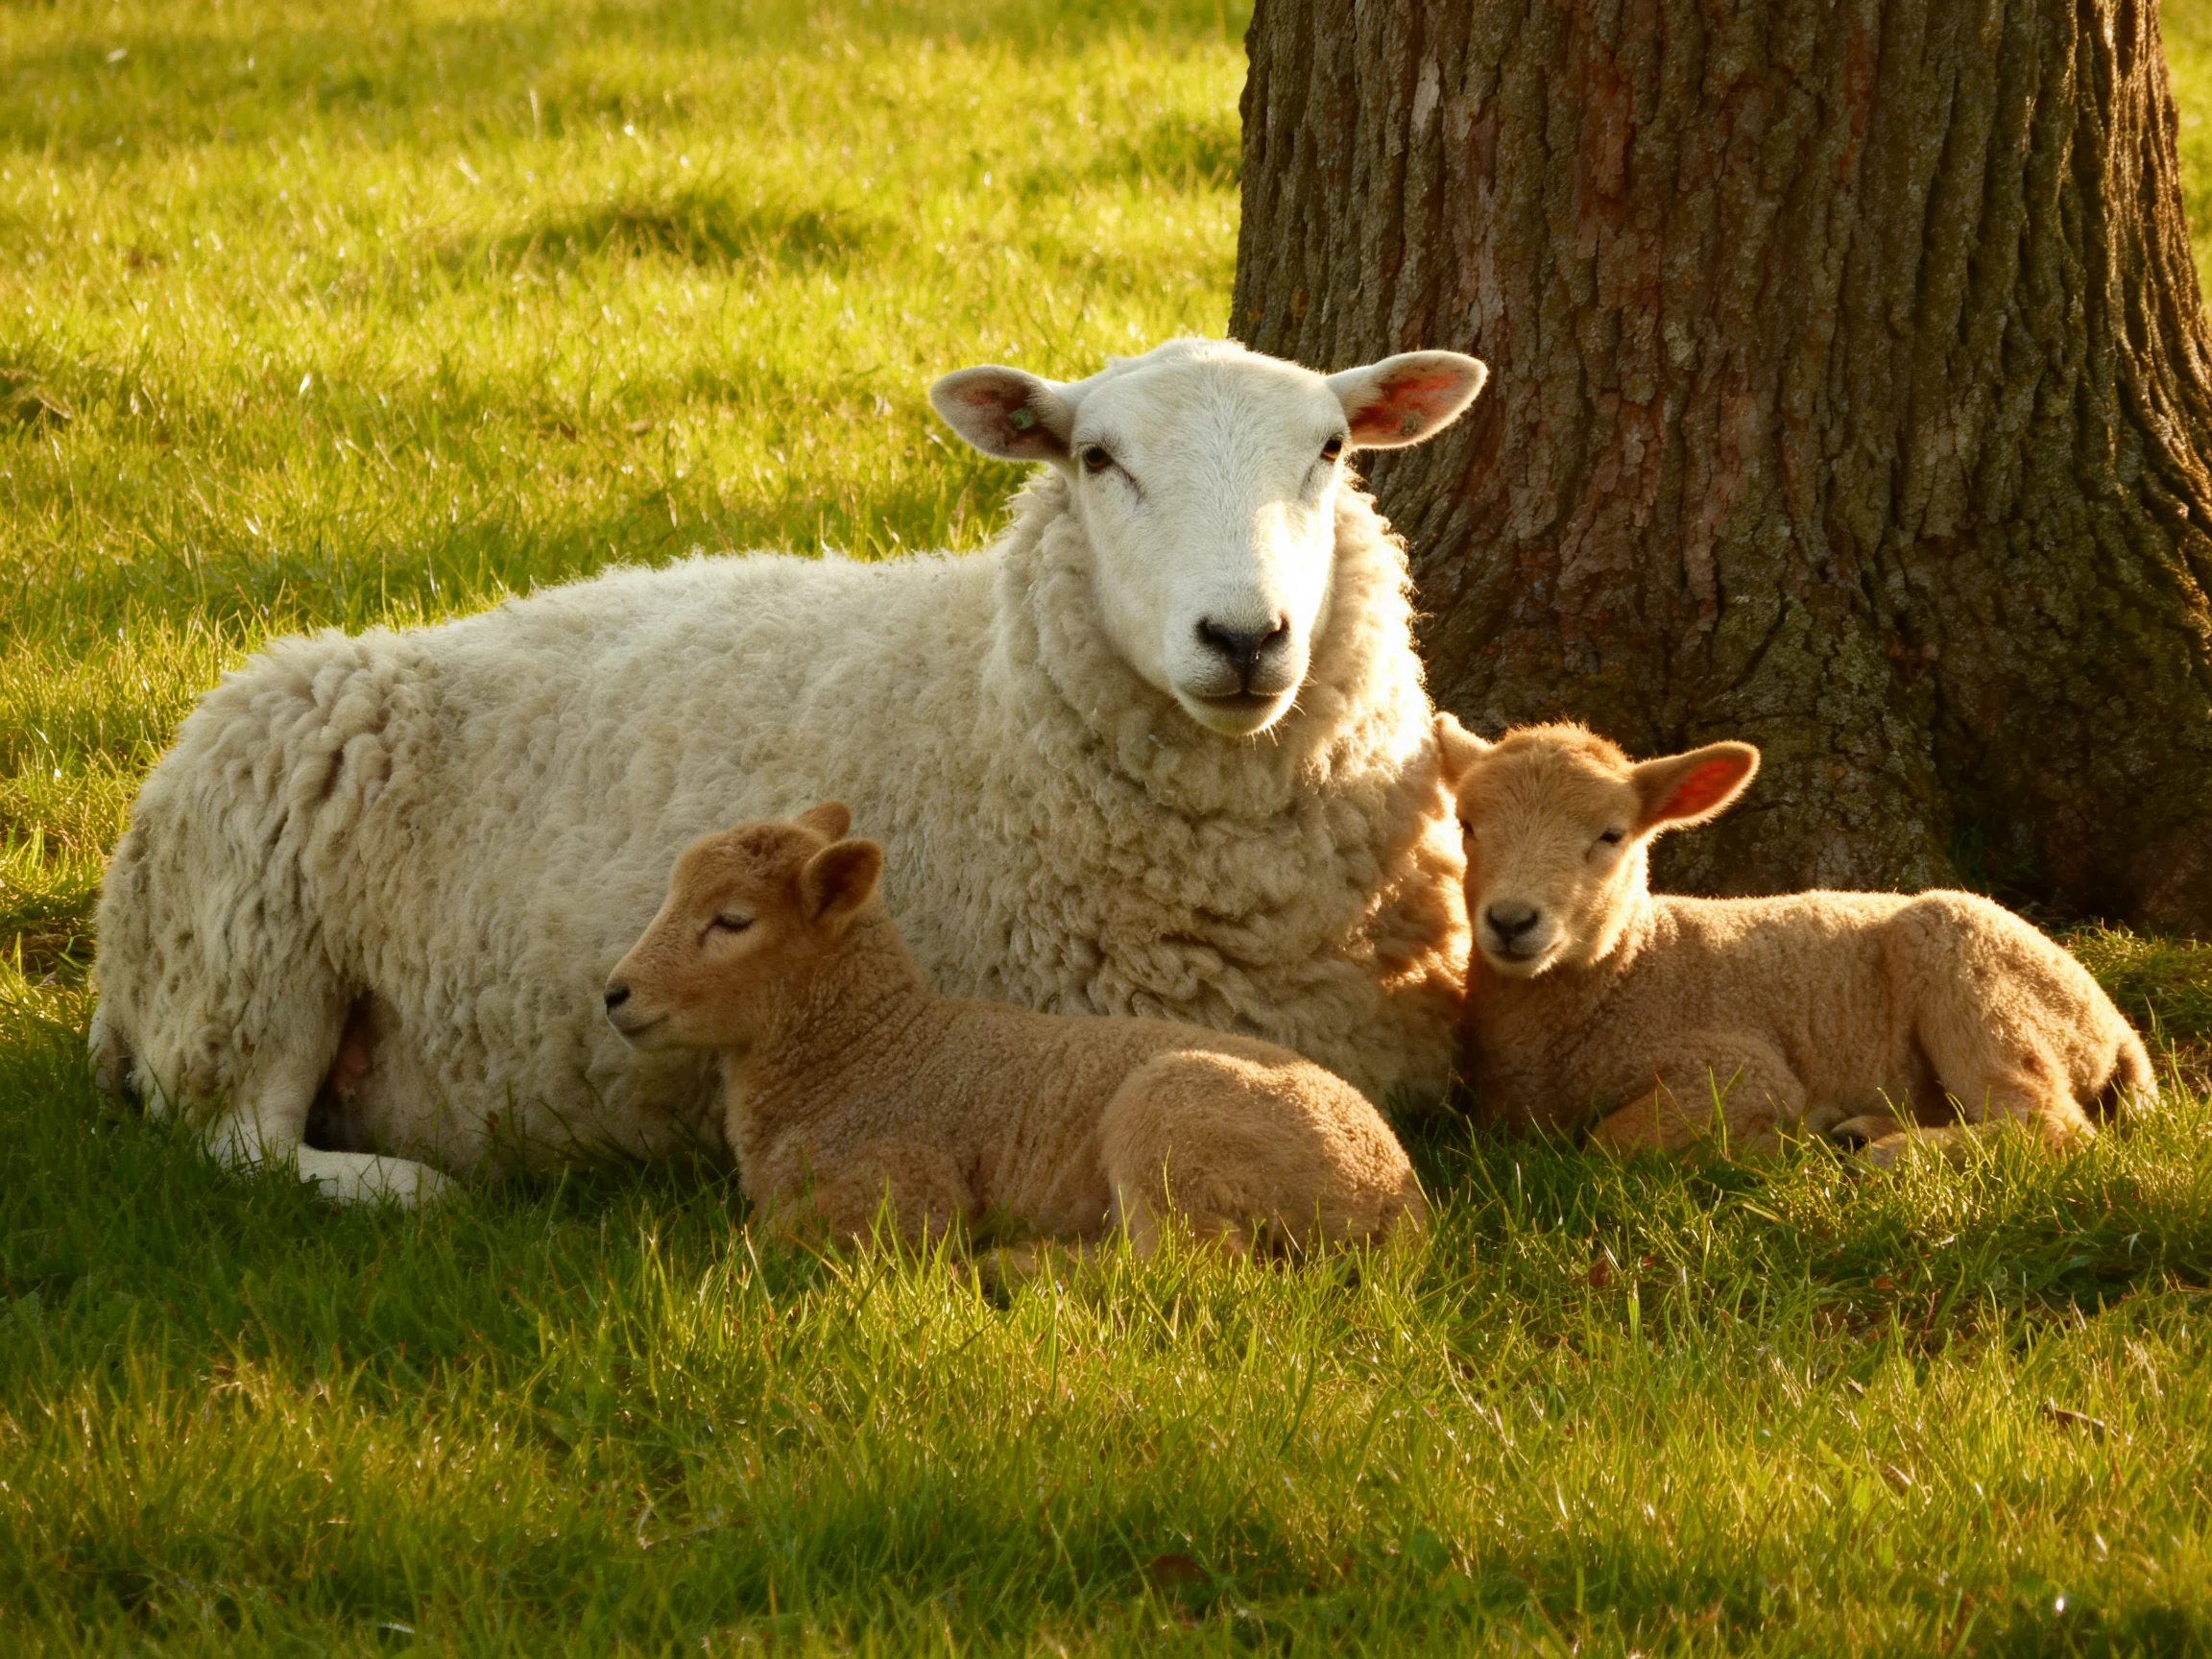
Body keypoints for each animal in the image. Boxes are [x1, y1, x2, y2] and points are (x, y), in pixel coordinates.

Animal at [90, 338, 1486, 1205]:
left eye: (1330, 450)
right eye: (1097, 457)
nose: (1245, 639)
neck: (981, 696)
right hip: (251, 957)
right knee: (236, 1144)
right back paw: (417, 1190)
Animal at [602, 804, 1429, 1255]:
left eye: (732, 921)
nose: (614, 994)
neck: (869, 1049)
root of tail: (1395, 1201)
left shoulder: (910, 1186)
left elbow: (760, 1242)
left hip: (1173, 1124)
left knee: (1191, 1269)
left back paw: (1017, 1268)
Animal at [1435, 715, 2155, 1164]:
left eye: (1612, 835)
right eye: (1466, 824)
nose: (1511, 921)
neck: (1632, 969)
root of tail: (2117, 1028)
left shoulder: (1737, 1067)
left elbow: (1611, 1142)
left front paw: (1772, 1143)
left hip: (1975, 970)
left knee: (2047, 1123)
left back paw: (1886, 1153)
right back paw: (1864, 1131)